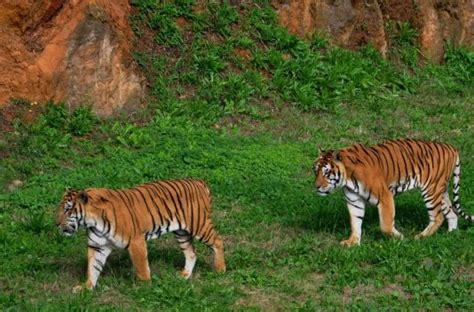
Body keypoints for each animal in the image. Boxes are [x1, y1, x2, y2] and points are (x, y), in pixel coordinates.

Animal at [55, 179, 226, 292]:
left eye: (68, 210)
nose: (56, 224)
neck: (92, 221)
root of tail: (199, 181)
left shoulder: (136, 242)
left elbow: (141, 267)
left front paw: (145, 288)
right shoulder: (97, 246)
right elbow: (92, 268)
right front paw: (86, 288)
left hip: (199, 225)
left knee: (218, 241)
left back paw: (220, 269)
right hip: (182, 232)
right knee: (191, 253)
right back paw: (184, 275)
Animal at [312, 139, 472, 246]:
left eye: (327, 173)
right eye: (315, 171)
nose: (317, 187)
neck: (347, 178)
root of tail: (450, 147)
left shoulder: (384, 196)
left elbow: (385, 225)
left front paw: (400, 237)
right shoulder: (354, 201)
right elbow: (355, 222)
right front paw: (353, 242)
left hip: (431, 190)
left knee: (438, 217)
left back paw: (420, 237)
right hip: (440, 191)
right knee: (452, 212)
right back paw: (451, 235)